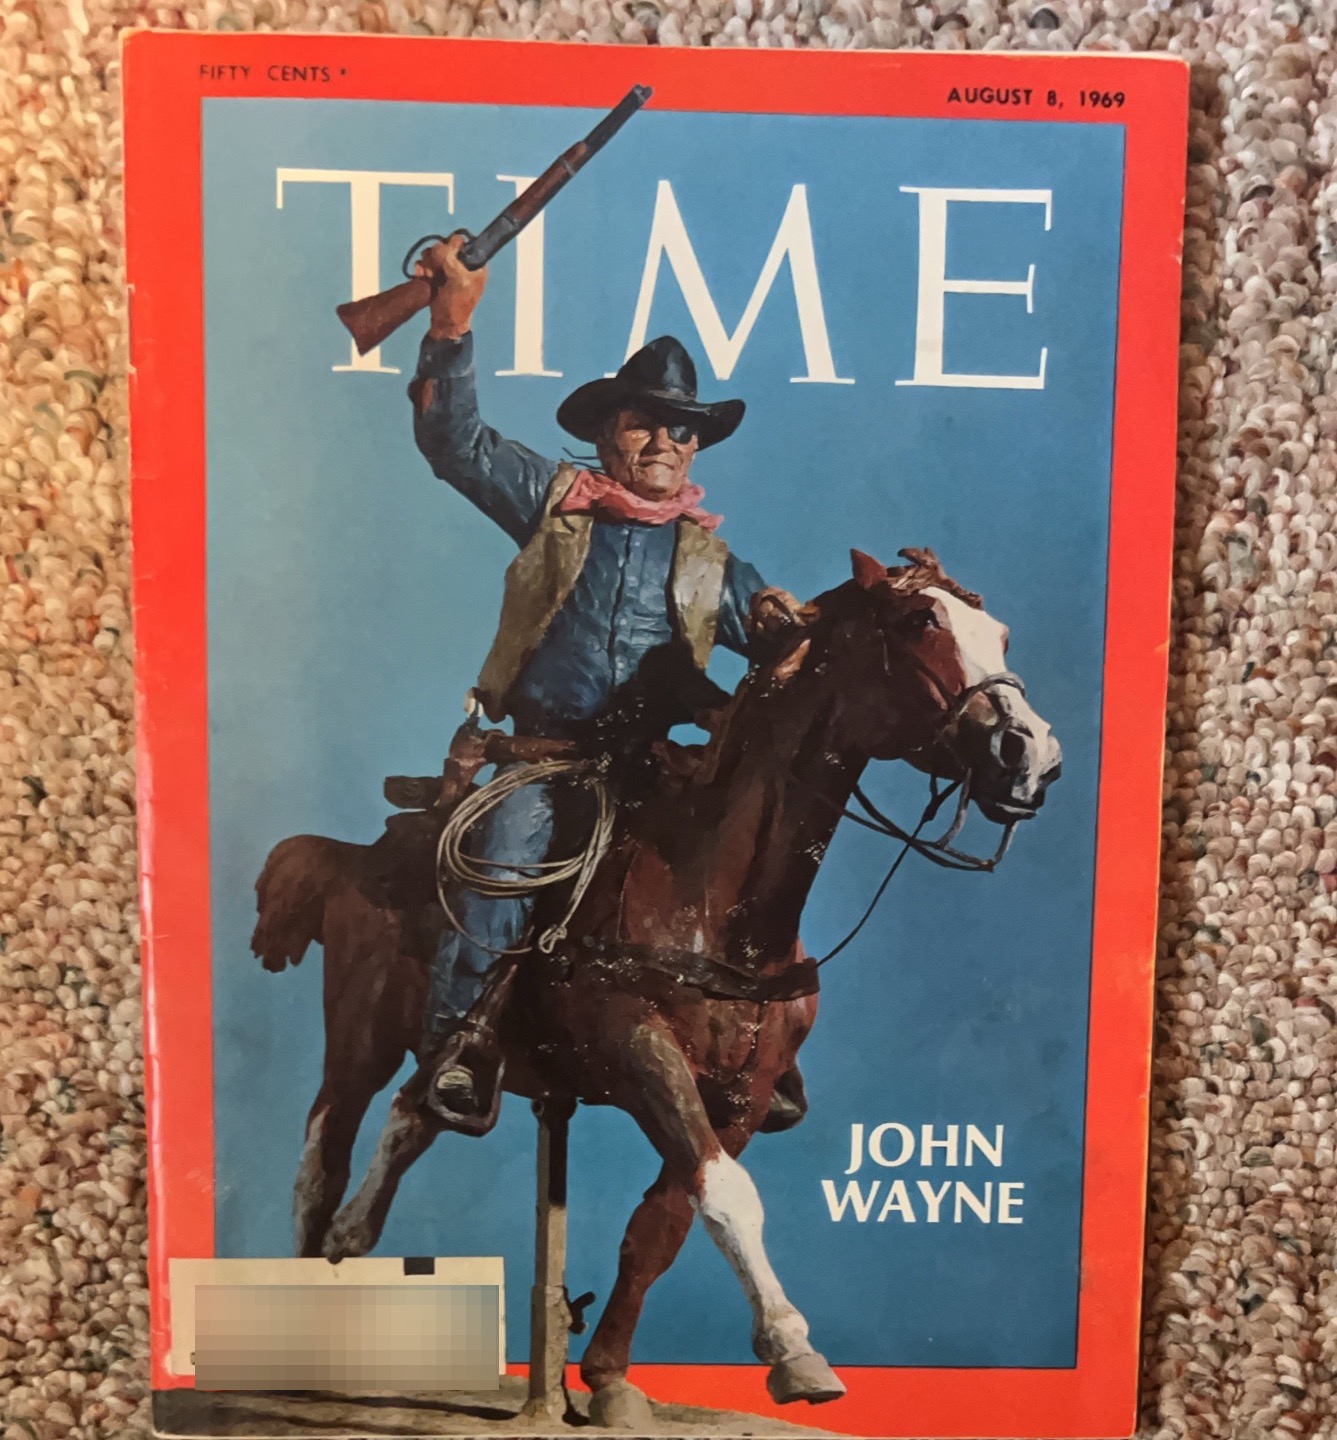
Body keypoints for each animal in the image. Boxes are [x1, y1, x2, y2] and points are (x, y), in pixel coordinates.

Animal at [249, 546, 1062, 1427]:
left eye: (1003, 634)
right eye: (918, 622)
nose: (1030, 753)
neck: (716, 900)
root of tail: (355, 855)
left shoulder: (742, 1095)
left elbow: (665, 1221)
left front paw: (608, 1380)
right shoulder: (638, 1051)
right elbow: (728, 1197)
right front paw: (793, 1348)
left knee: (414, 1113)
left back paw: (353, 1239)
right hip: (357, 1038)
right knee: (325, 1155)